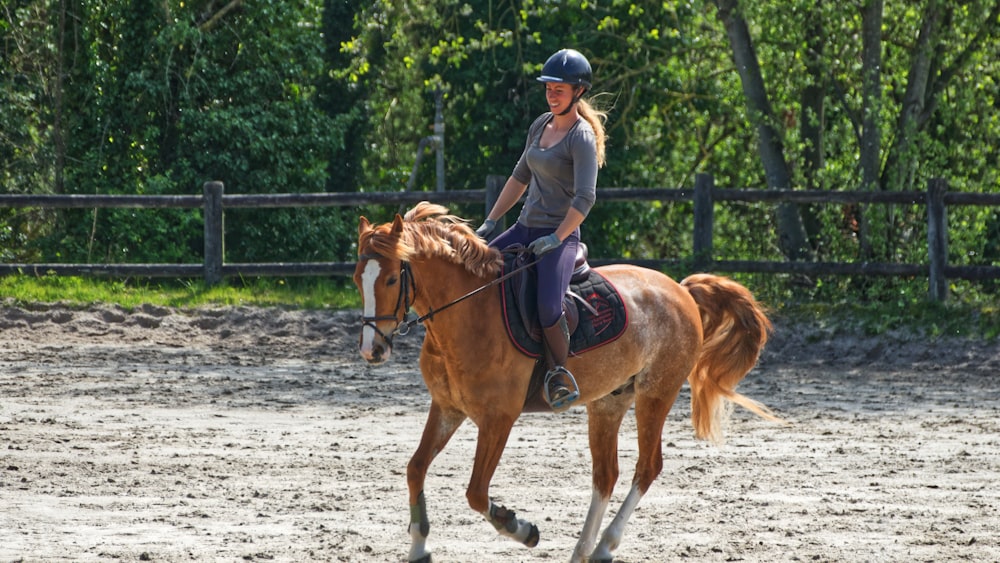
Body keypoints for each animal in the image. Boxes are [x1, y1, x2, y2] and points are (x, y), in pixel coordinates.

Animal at [354, 203, 780, 563]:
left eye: (390, 279)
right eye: (359, 279)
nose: (372, 350)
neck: (468, 313)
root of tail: (682, 290)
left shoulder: (498, 419)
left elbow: (476, 492)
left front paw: (521, 528)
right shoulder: (447, 408)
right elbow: (415, 468)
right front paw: (419, 547)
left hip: (656, 393)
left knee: (647, 467)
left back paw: (605, 546)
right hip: (609, 402)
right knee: (606, 475)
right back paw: (582, 550)